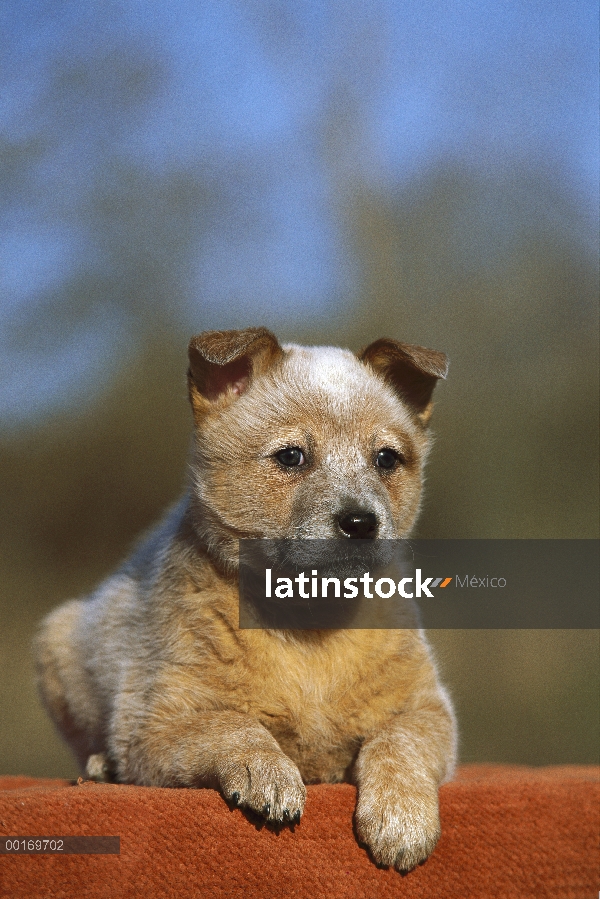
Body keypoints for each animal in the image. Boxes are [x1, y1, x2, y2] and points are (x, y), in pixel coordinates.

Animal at [35, 328, 458, 872]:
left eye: (387, 458)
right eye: (291, 456)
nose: (361, 522)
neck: (309, 628)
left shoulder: (428, 709)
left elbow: (399, 742)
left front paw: (401, 817)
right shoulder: (152, 724)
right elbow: (231, 723)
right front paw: (268, 772)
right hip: (58, 643)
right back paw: (100, 765)